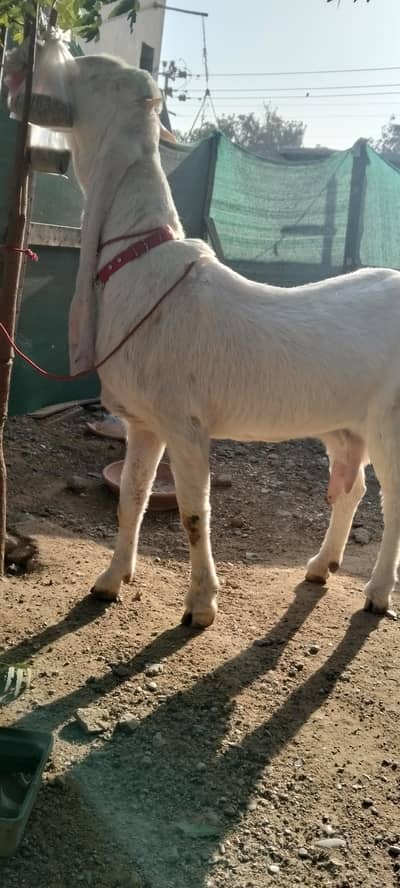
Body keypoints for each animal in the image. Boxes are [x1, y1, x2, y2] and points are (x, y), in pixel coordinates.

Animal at [7, 49, 400, 627]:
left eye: (92, 68)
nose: (26, 64)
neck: (140, 263)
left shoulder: (185, 423)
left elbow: (194, 514)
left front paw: (200, 605)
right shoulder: (144, 421)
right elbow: (131, 497)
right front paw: (110, 581)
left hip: (391, 420)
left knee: (394, 501)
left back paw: (377, 591)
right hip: (343, 424)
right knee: (351, 488)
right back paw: (321, 565)